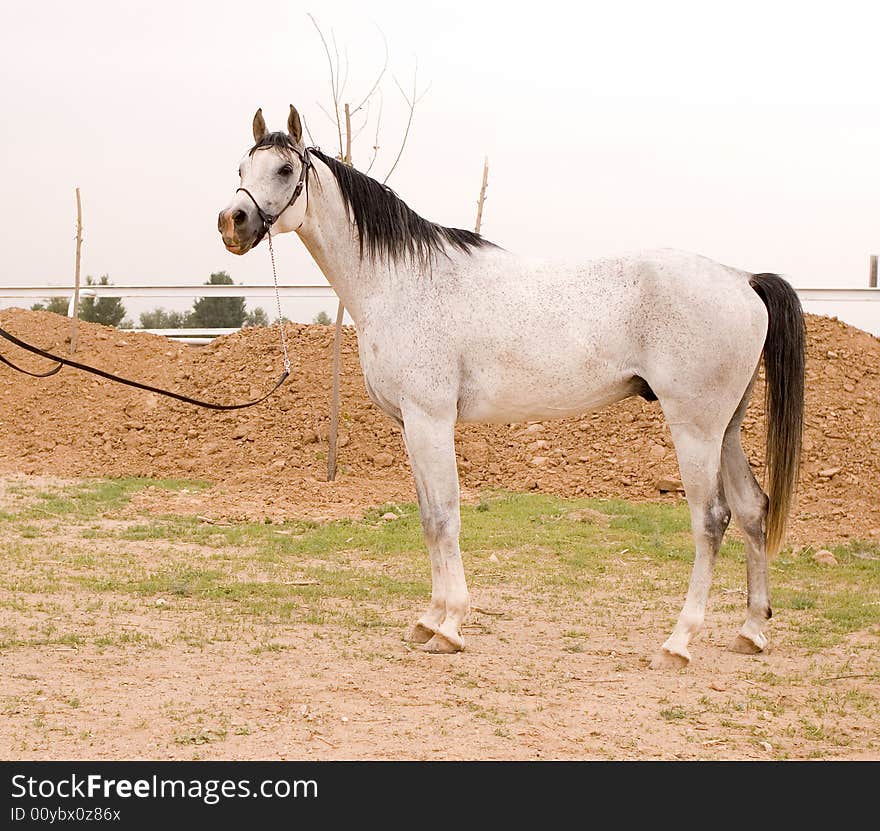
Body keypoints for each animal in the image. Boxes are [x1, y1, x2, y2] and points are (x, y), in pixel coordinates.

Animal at [217, 109, 800, 668]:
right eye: (241, 168)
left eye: (285, 169)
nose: (231, 222)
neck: (402, 281)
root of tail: (742, 279)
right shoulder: (412, 425)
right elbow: (428, 519)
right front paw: (429, 621)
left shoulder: (431, 420)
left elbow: (445, 517)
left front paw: (450, 627)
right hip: (725, 428)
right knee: (752, 509)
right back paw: (751, 632)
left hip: (695, 428)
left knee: (712, 520)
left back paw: (677, 643)